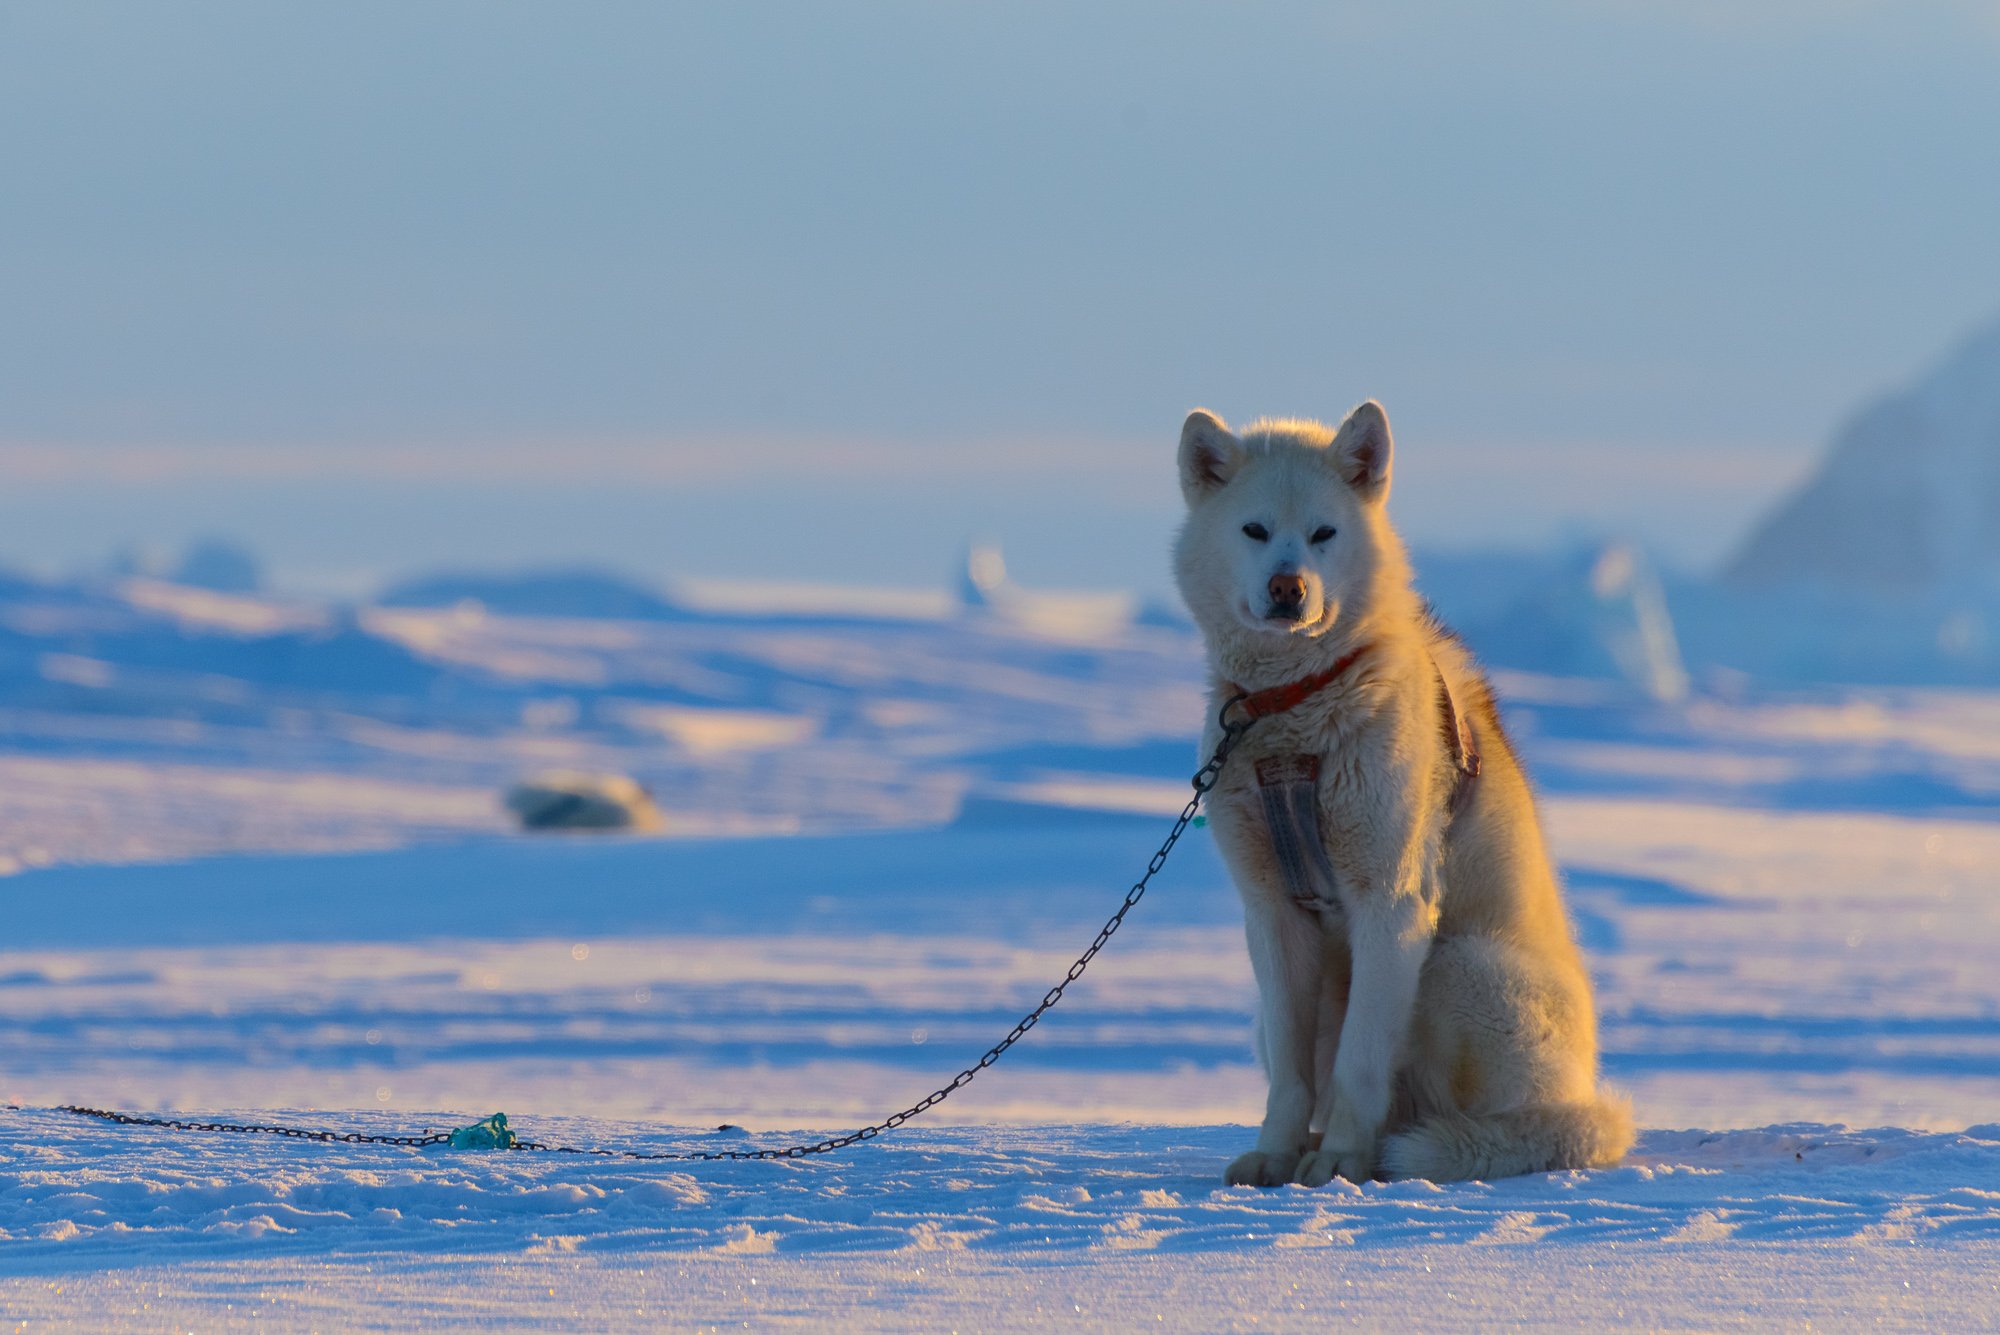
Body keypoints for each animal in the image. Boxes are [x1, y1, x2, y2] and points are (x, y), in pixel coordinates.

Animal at [1176, 401, 1632, 1183]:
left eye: (1325, 533)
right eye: (1255, 530)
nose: (1289, 588)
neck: (1294, 710)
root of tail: (1582, 1108)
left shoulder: (1390, 902)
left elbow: (1360, 1063)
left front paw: (1340, 1160)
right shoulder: (1271, 913)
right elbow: (1292, 1077)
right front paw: (1277, 1154)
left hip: (1456, 964)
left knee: (1475, 1122)